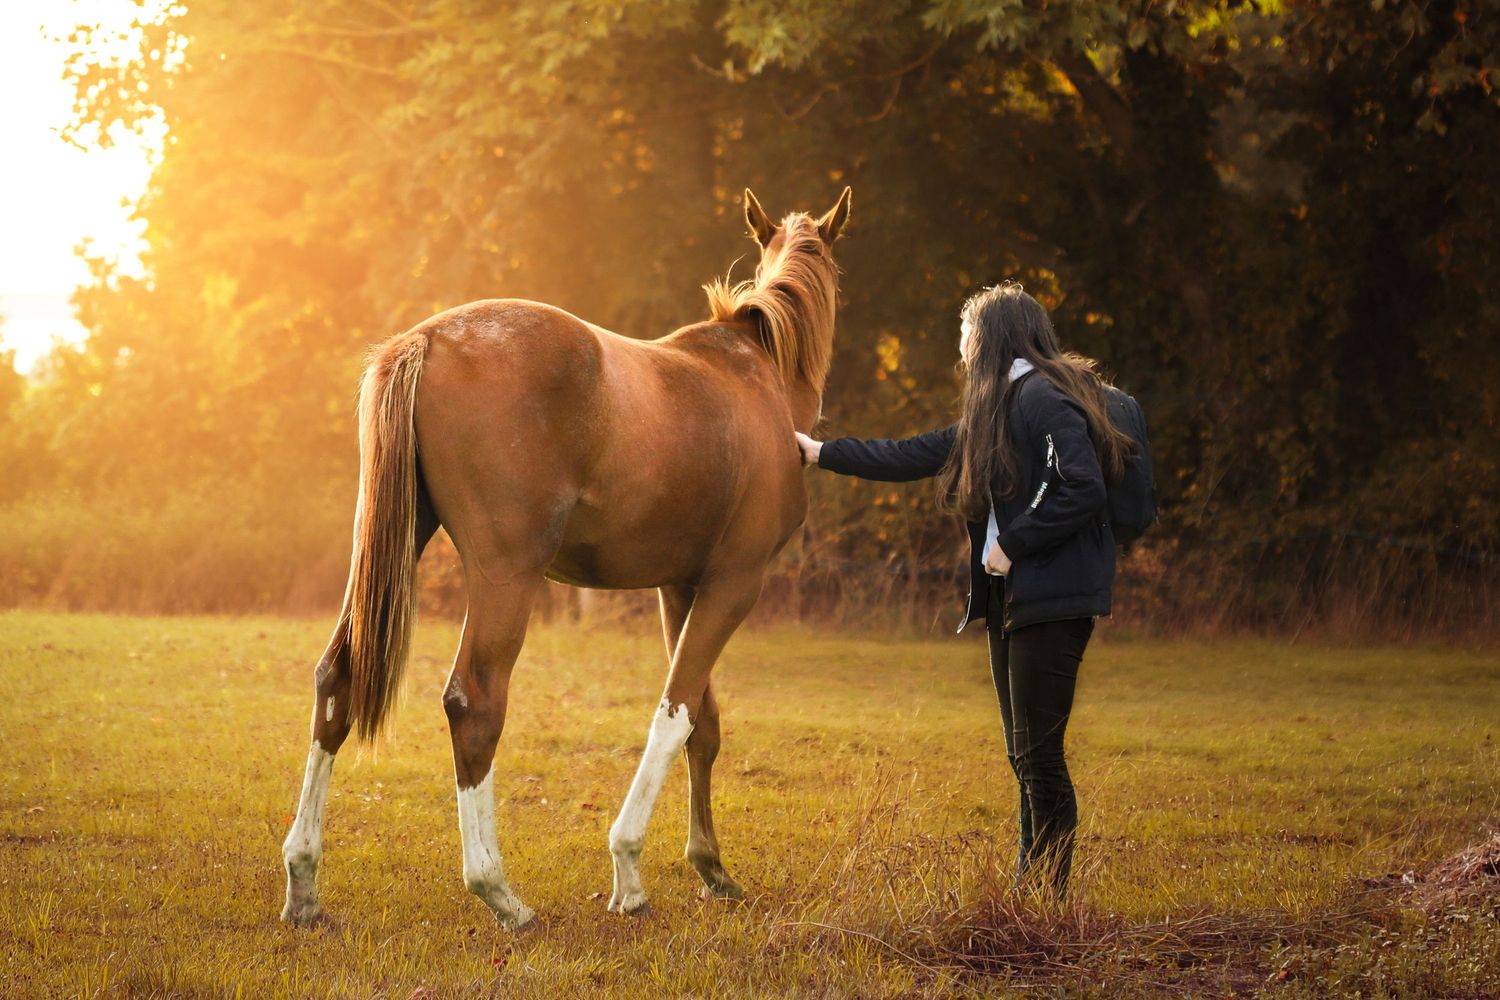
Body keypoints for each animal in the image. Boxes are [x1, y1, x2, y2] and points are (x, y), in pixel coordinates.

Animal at [280, 187, 853, 929]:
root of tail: (426, 339)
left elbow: (704, 724)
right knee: (474, 702)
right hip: (507, 576)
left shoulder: (681, 587)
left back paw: (303, 881)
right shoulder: (734, 584)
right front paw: (630, 872)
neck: (757, 377)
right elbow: (674, 714)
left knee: (337, 679)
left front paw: (712, 868)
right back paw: (498, 891)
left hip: (388, 556)